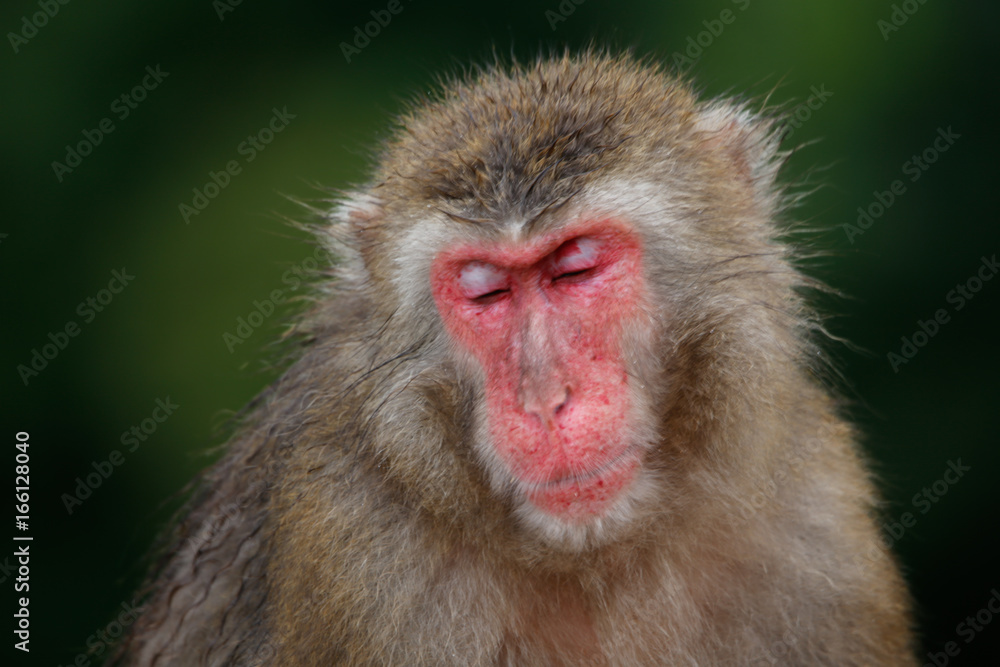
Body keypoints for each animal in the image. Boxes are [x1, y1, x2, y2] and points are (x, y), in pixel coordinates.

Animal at [113, 49, 916, 664]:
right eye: (487, 290)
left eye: (574, 266)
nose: (544, 396)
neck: (599, 557)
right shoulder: (355, 562)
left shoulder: (821, 534)